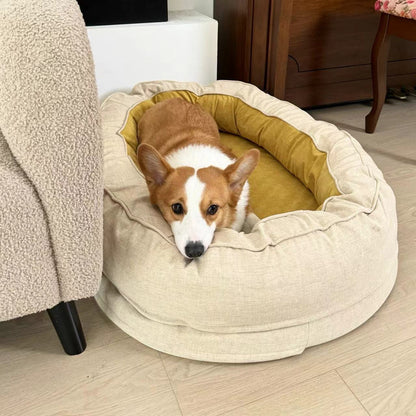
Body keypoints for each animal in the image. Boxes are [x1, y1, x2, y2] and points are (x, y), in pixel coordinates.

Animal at [138, 98, 258, 258]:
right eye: (176, 207)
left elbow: (254, 218)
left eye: (213, 209)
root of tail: (176, 98)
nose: (194, 251)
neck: (198, 161)